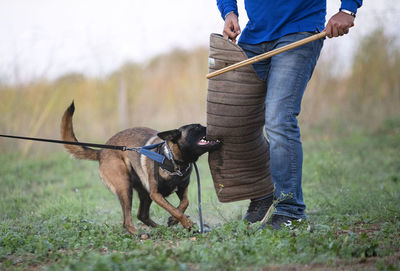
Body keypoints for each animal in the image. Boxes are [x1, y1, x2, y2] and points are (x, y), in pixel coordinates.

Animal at [61, 102, 220, 236]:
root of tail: (101, 152)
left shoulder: (181, 189)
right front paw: (186, 223)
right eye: (197, 127)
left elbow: (183, 204)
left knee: (141, 215)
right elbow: (175, 209)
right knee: (127, 220)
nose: (214, 127)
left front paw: (174, 220)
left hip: (144, 192)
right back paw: (138, 234)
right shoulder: (156, 194)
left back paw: (160, 229)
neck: (173, 160)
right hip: (125, 187)